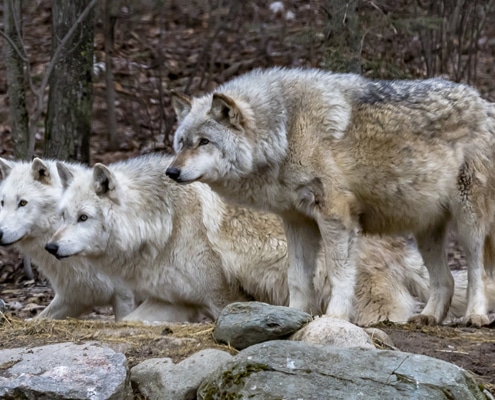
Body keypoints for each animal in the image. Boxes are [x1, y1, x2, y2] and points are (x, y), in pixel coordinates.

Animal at [43, 153, 488, 324]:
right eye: (62, 217)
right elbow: (133, 322)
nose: (51, 247)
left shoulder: (224, 296)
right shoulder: (172, 302)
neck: (161, 224)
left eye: (84, 218)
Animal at [167, 67, 495, 326]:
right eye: (181, 143)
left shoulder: (336, 216)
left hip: (469, 223)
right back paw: (429, 317)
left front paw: (335, 317)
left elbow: (339, 275)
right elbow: (297, 279)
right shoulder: (297, 221)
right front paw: (292, 316)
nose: (171, 171)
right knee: (446, 281)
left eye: (204, 142)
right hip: (426, 230)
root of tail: (486, 104)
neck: (286, 130)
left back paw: (475, 317)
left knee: (478, 272)